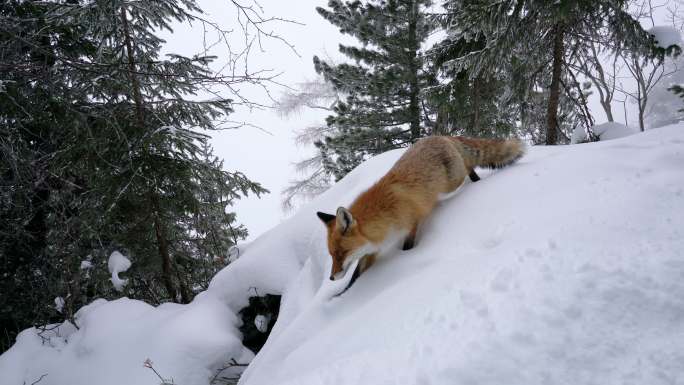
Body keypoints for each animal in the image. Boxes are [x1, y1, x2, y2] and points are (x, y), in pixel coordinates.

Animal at [316, 134, 524, 280]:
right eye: (332, 255)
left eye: (341, 253)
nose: (331, 278)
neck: (382, 218)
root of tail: (443, 135)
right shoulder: (372, 251)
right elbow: (356, 276)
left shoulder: (411, 223)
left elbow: (407, 246)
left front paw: (407, 258)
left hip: (453, 179)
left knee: (468, 167)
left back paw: (473, 182)